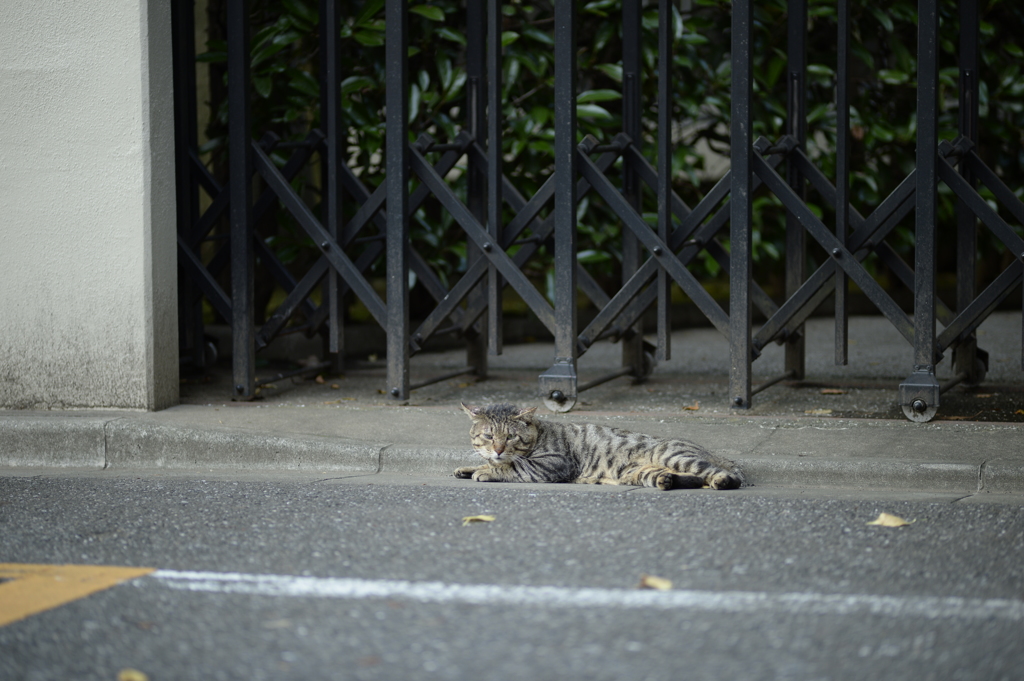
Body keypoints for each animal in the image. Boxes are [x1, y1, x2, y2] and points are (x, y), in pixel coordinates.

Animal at [456, 401, 745, 491]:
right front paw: (470, 467)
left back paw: (721, 480)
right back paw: (667, 481)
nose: (498, 449)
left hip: (675, 456)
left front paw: (486, 470)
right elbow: (488, 462)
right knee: (684, 479)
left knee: (718, 474)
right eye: (489, 437)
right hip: (640, 473)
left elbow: (514, 467)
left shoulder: (554, 464)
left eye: (510, 437)